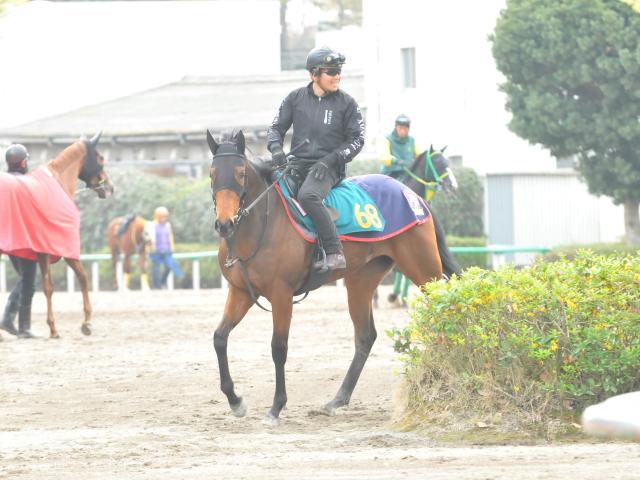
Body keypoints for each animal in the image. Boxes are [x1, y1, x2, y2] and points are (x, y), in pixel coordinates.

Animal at [0, 133, 114, 340]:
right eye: (101, 158)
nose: (110, 188)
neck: (57, 183)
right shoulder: (64, 249)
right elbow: (81, 278)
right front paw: (84, 323)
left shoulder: (40, 252)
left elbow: (45, 286)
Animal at [208, 129, 458, 426]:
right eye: (212, 173)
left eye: (240, 173)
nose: (225, 224)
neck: (261, 226)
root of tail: (413, 197)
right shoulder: (241, 291)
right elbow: (220, 338)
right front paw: (235, 401)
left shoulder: (281, 295)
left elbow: (278, 348)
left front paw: (276, 407)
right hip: (361, 281)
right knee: (365, 336)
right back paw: (337, 399)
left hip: (424, 269)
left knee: (445, 310)